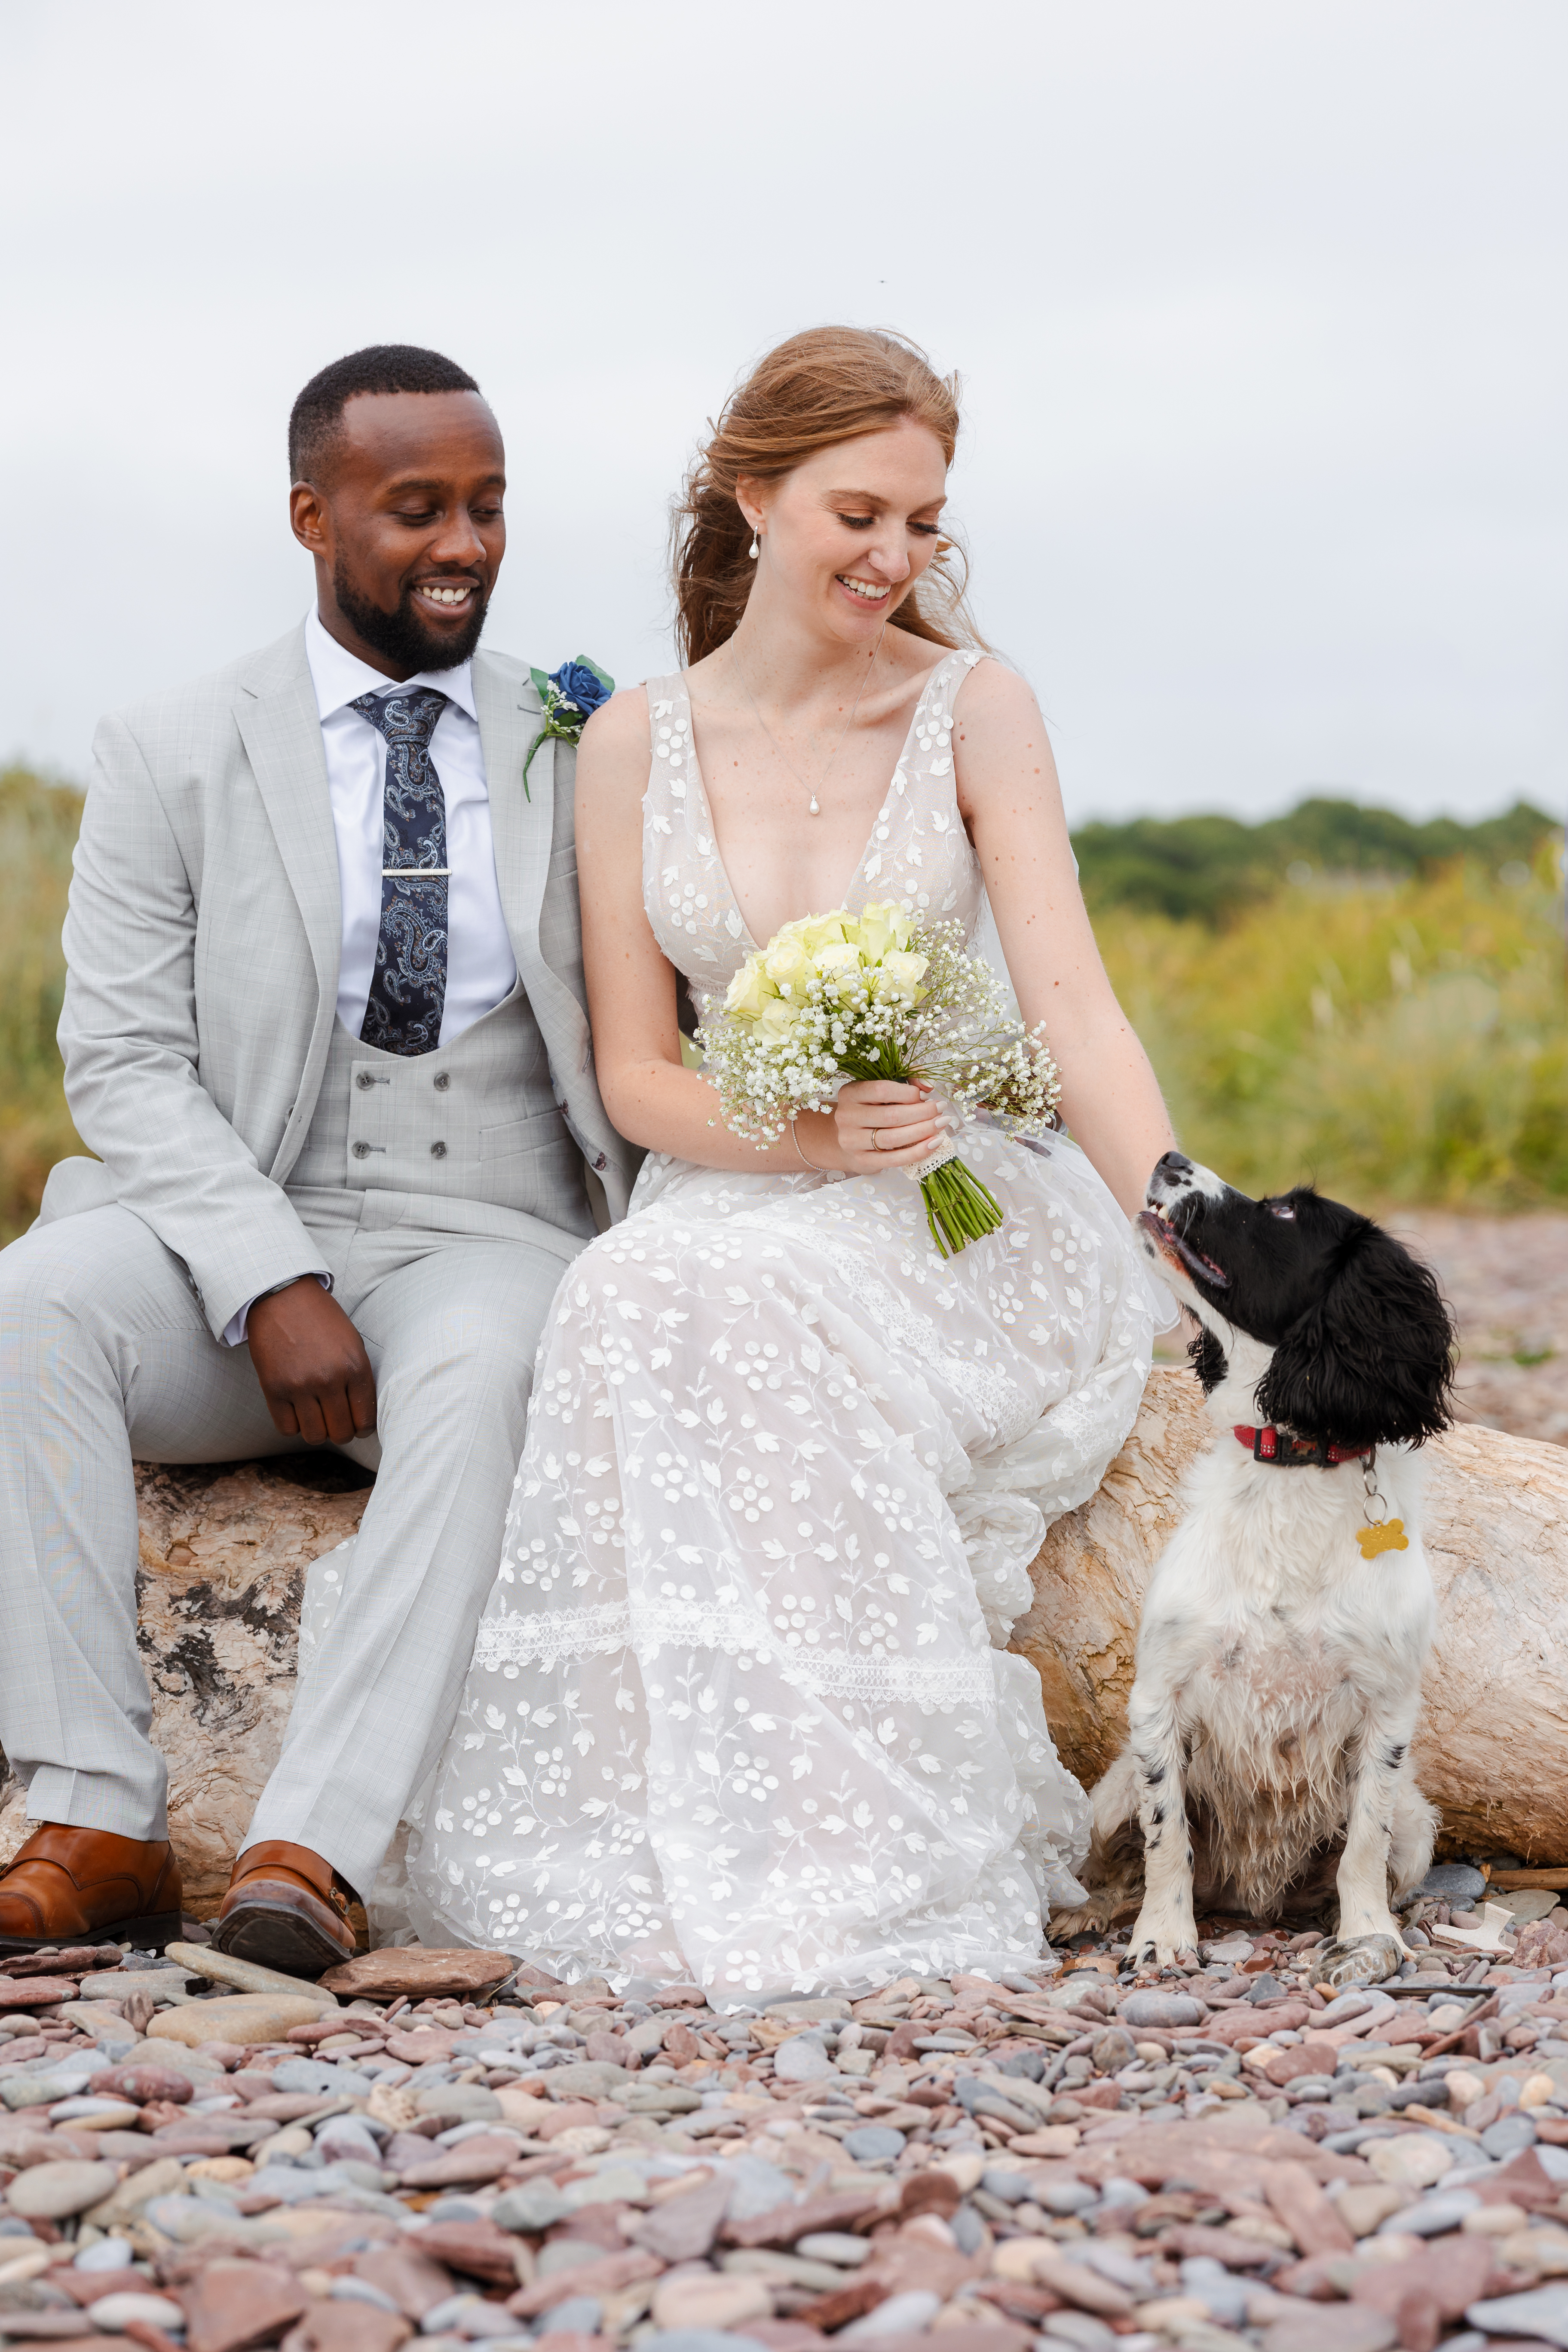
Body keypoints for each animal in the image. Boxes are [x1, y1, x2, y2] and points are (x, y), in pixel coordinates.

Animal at [1072, 1148, 1457, 1975]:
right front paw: (1161, 1937)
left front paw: (1369, 1935)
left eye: (1285, 1213)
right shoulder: (1159, 1699)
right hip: (1105, 1798)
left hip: (1419, 1823)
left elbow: (1364, 1842)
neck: (1292, 1471)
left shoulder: (1385, 1711)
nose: (1169, 1156)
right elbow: (1165, 1839)